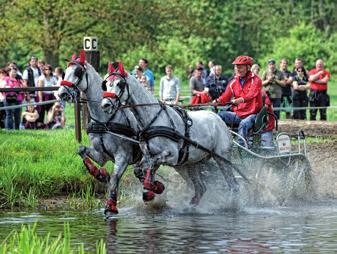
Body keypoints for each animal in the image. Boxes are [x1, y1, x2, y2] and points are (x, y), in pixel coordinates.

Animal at [56, 51, 164, 214]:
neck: (105, 120)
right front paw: (100, 174)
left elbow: (114, 178)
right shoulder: (101, 155)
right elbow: (81, 150)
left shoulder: (123, 156)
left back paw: (151, 190)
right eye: (64, 72)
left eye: (78, 72)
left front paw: (111, 205)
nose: (62, 93)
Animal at [100, 62, 239, 206]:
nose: (105, 105)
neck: (153, 119)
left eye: (119, 84)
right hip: (192, 162)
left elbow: (150, 165)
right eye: (106, 83)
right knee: (200, 188)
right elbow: (140, 169)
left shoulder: (172, 155)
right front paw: (152, 189)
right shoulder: (149, 155)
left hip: (222, 157)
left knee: (233, 185)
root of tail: (218, 119)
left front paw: (153, 188)